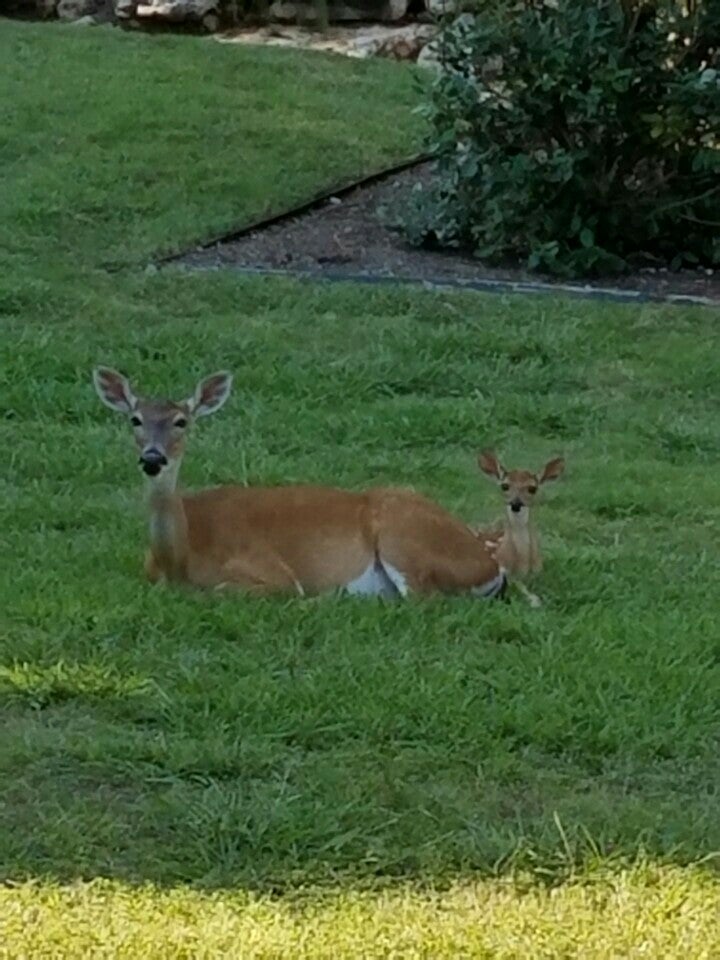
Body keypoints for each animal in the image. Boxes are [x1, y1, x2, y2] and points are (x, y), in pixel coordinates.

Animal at [93, 368, 506, 600]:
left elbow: (222, 592)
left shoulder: (267, 569)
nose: (153, 458)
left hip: (405, 538)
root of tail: (491, 565)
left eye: (181, 421)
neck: (180, 559)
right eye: (135, 419)